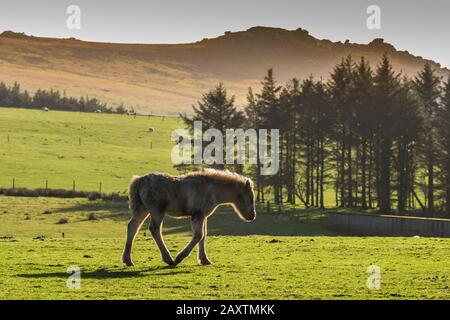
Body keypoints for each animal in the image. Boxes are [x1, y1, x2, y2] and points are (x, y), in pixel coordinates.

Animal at [122, 169, 256, 266]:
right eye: (250, 197)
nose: (252, 216)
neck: (211, 189)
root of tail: (139, 180)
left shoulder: (203, 216)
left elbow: (204, 235)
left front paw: (204, 260)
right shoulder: (198, 215)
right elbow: (198, 235)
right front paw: (180, 257)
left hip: (142, 210)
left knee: (132, 227)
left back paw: (127, 260)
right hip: (157, 211)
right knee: (154, 229)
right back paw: (169, 259)